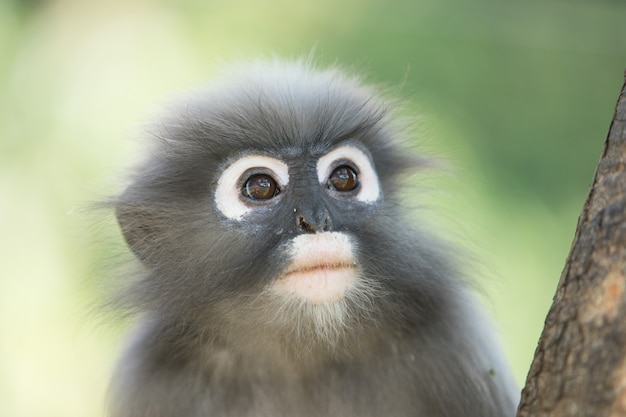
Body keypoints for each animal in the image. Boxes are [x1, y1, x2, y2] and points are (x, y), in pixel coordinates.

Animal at [106, 58, 516, 416]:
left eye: (344, 178)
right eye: (260, 186)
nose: (316, 220)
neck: (303, 353)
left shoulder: (456, 342)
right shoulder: (153, 378)